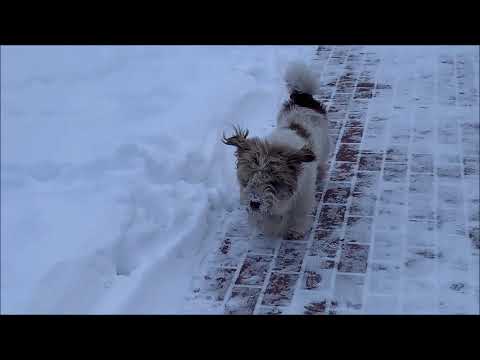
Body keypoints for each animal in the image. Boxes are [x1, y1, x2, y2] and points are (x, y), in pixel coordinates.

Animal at [222, 62, 330, 240]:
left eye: (273, 181)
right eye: (249, 177)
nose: (254, 203)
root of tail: (302, 97)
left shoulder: (304, 193)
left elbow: (300, 212)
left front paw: (296, 229)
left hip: (326, 145)